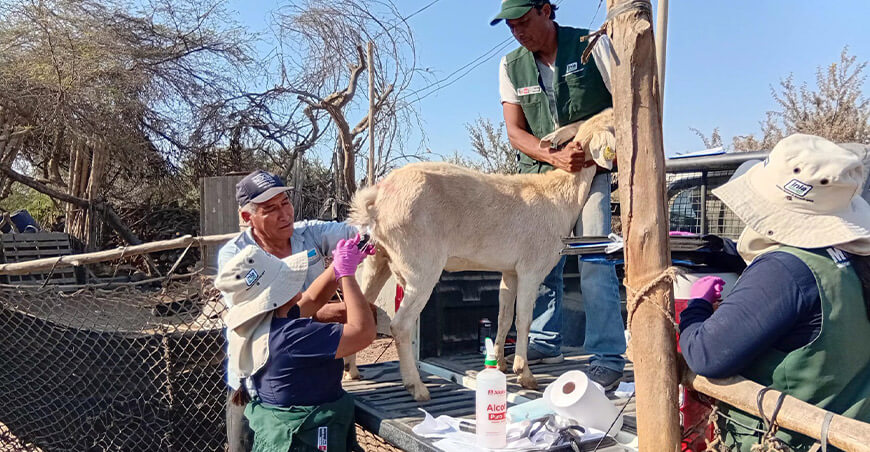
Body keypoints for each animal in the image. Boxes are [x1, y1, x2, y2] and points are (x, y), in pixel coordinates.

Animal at [347, 108, 615, 401]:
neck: (558, 195)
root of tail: (378, 200)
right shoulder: (531, 268)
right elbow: (523, 320)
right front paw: (525, 375)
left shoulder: (510, 271)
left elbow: (504, 317)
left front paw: (501, 363)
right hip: (420, 265)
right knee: (400, 325)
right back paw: (417, 388)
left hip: (377, 259)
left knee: (360, 309)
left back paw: (352, 371)